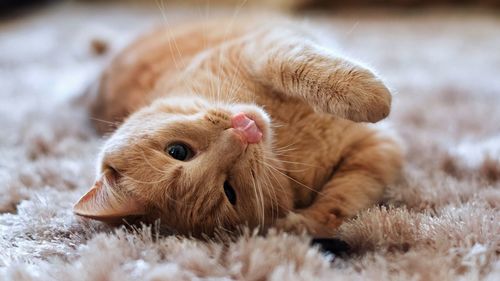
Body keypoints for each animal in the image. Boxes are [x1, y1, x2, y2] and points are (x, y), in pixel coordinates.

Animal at [74, 17, 402, 236]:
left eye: (178, 151)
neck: (284, 140)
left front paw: (369, 95)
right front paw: (300, 226)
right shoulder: (374, 153)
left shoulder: (260, 48)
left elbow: (296, 64)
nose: (243, 136)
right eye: (229, 191)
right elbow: (342, 199)